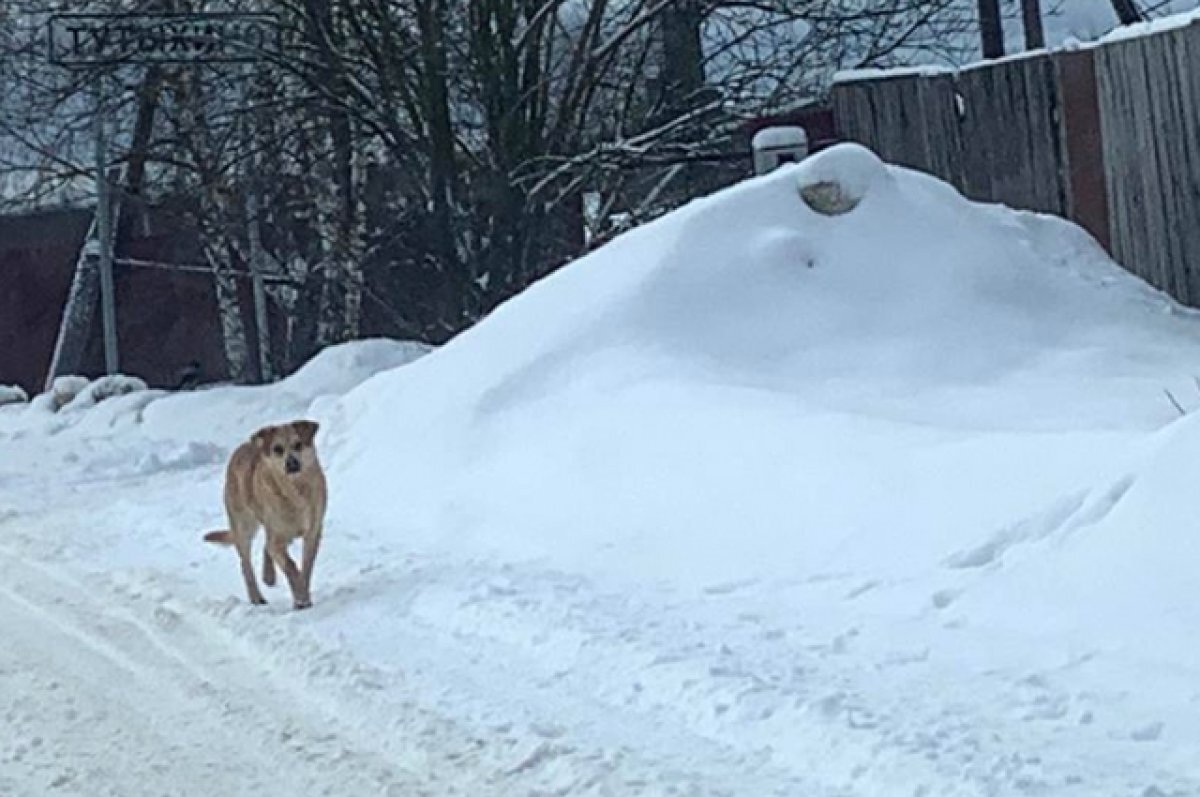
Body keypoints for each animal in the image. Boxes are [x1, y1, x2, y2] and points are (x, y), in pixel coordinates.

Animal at [205, 420, 326, 607]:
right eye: (277, 449)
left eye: (298, 444)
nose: (291, 462)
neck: (295, 492)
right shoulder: (277, 538)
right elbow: (291, 566)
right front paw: (300, 597)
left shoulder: (313, 533)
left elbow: (306, 567)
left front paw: (303, 593)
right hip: (243, 526)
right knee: (246, 564)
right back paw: (256, 597)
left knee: (265, 547)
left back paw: (268, 575)